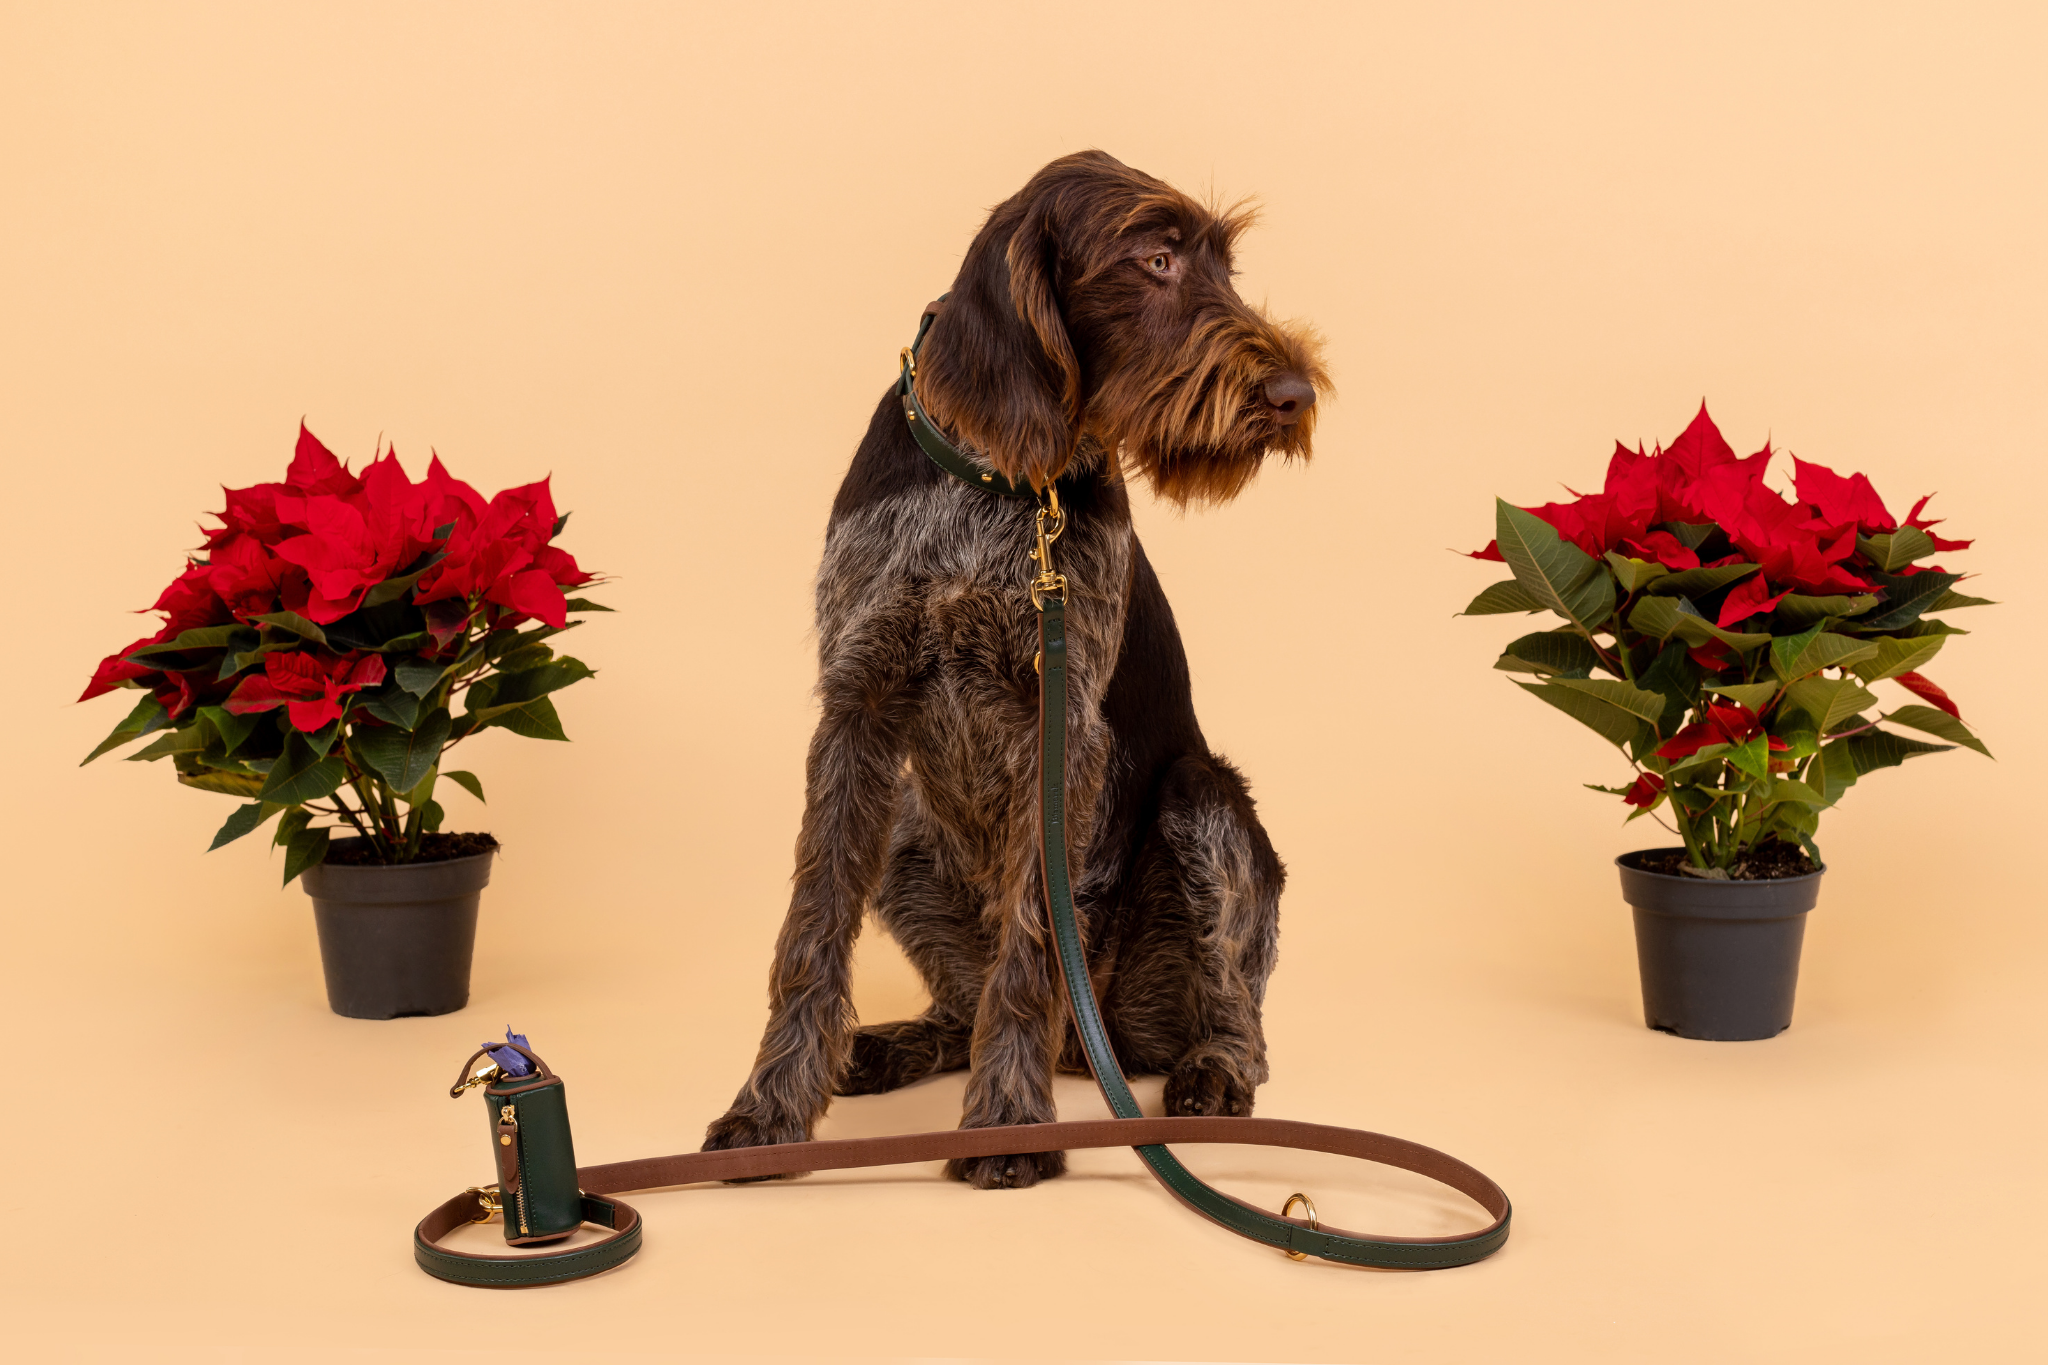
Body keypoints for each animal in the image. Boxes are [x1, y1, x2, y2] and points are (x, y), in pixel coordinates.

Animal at [708, 149, 1327, 1186]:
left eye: (1224, 267)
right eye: (1158, 258)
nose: (1294, 392)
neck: (997, 479)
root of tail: (1095, 1043)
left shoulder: (1060, 728)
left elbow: (1031, 948)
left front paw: (1006, 1123)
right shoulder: (856, 709)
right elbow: (812, 926)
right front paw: (769, 1111)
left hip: (1199, 800)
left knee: (1239, 1005)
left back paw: (1213, 1068)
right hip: (907, 826)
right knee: (962, 1002)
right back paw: (892, 1045)